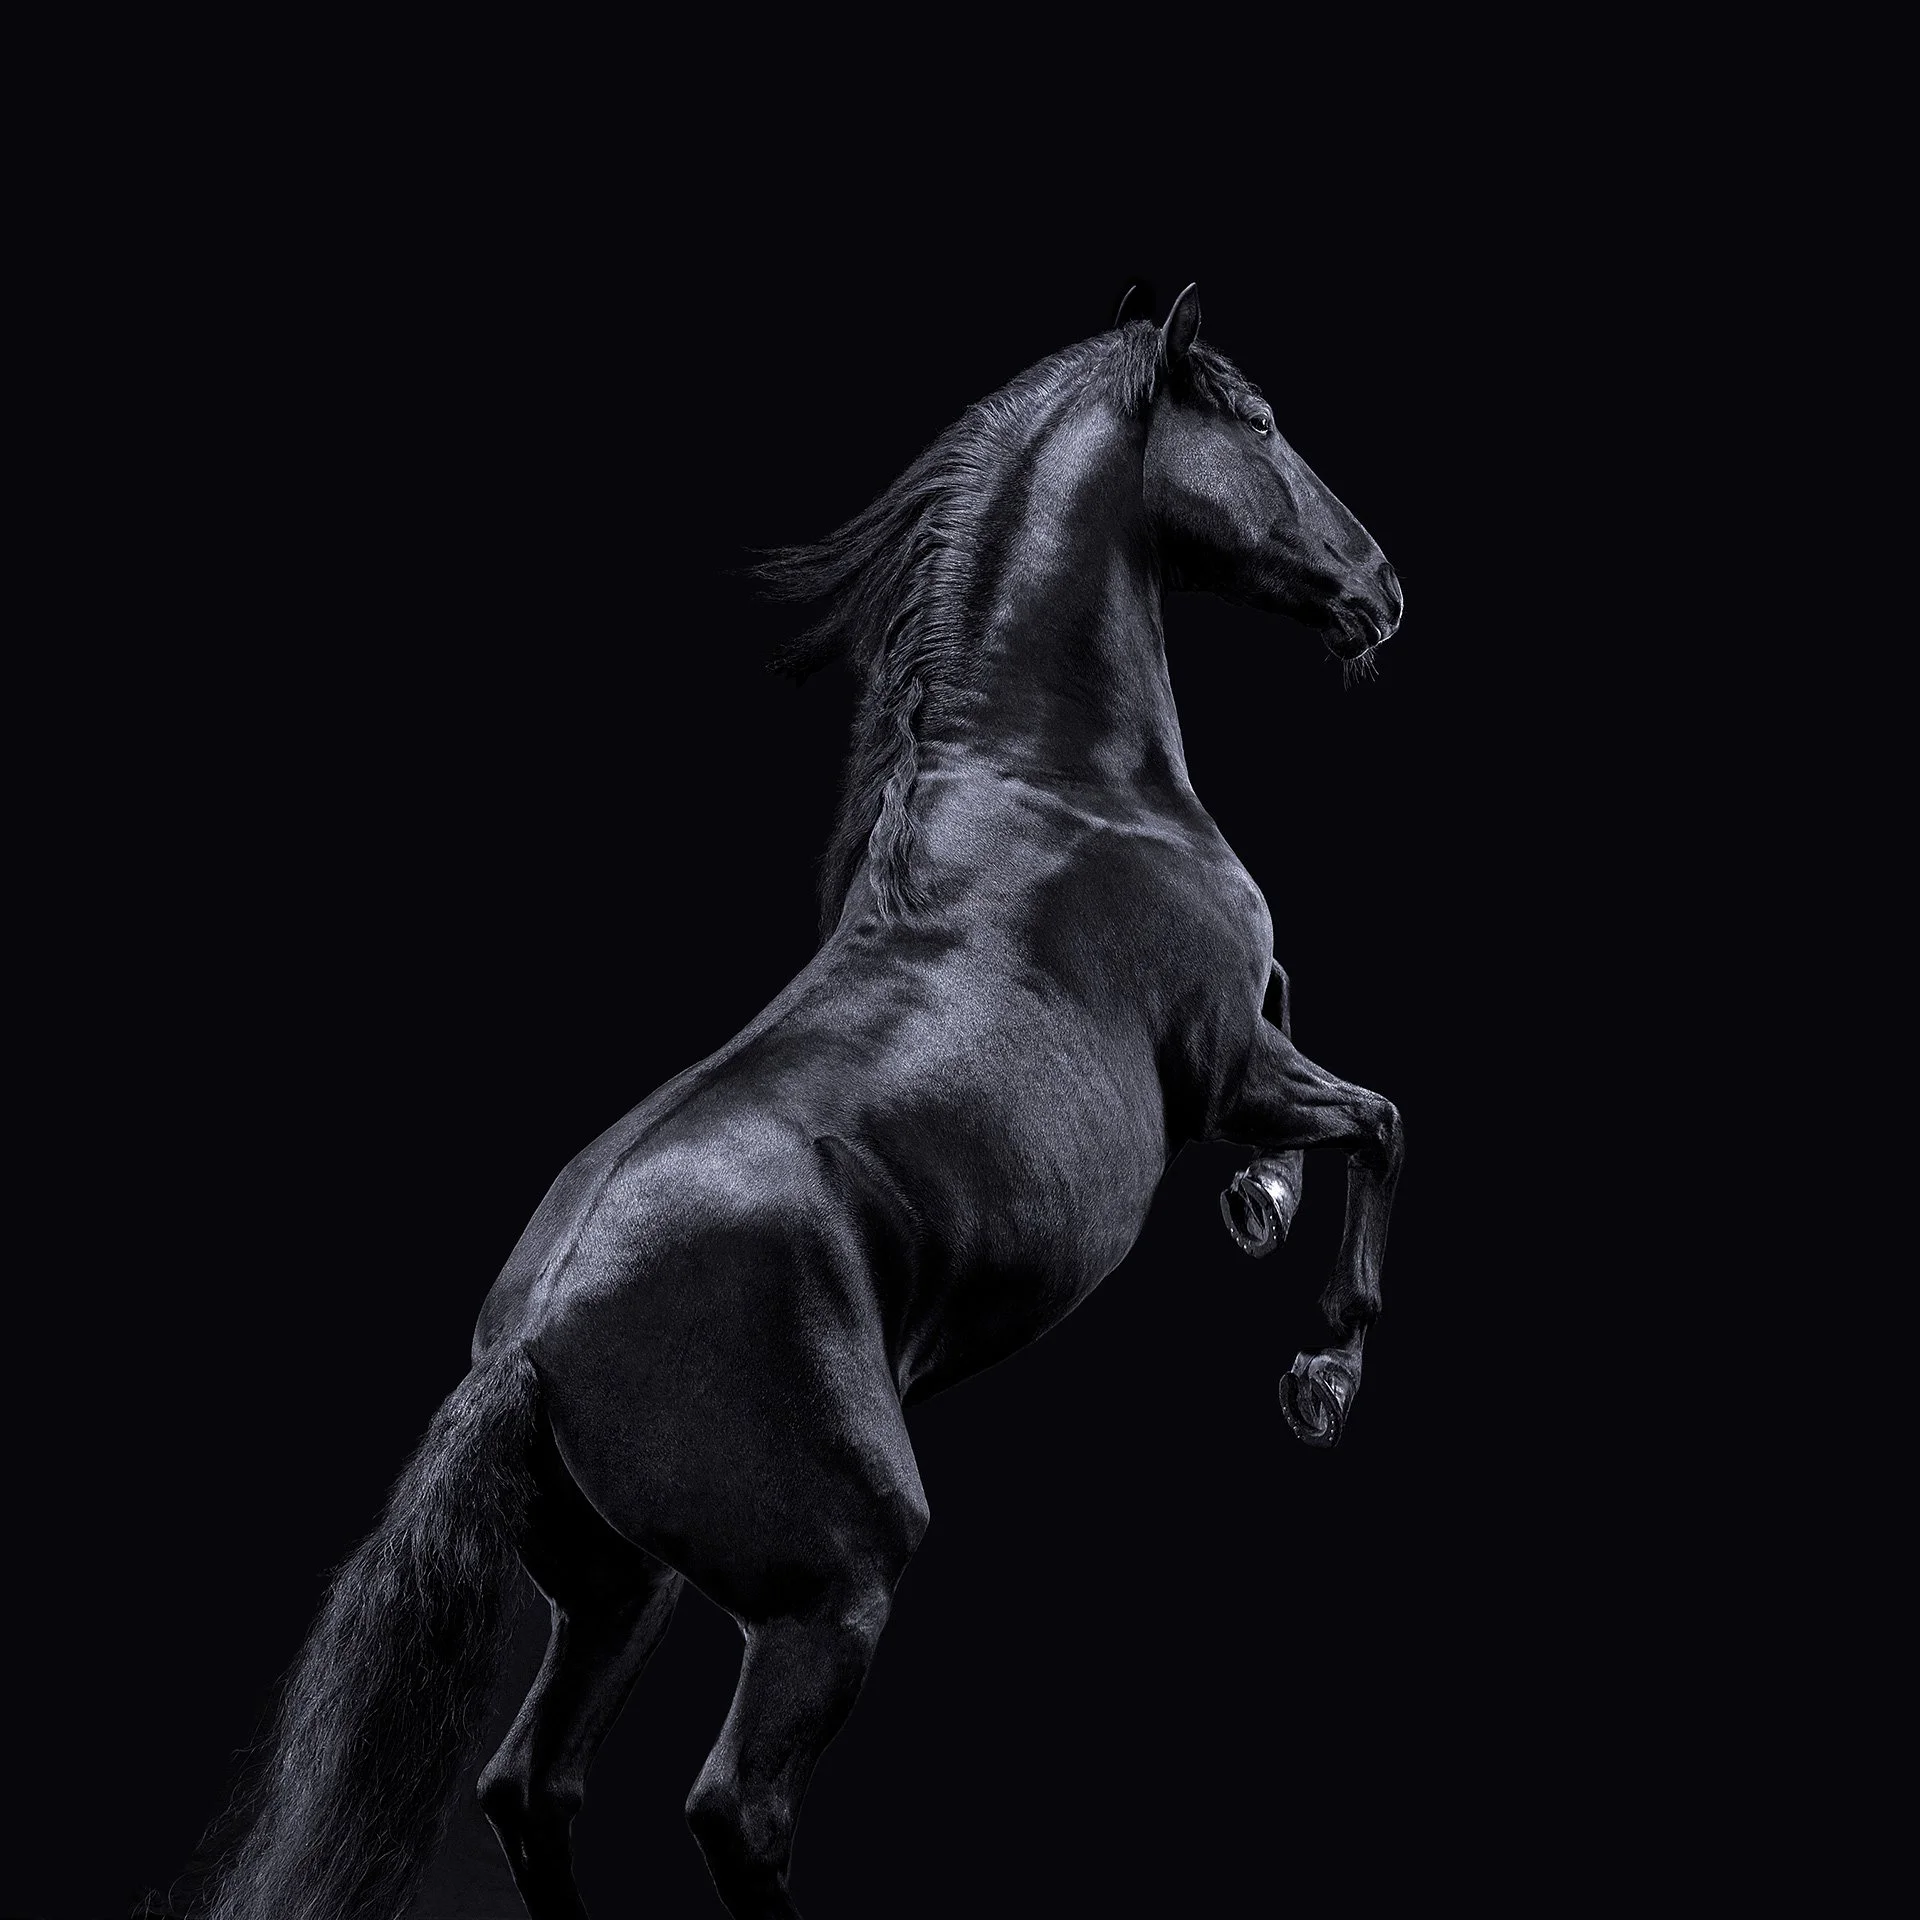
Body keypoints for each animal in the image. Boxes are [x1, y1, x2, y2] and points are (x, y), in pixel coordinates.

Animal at [186, 283, 1407, 1920]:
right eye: (1263, 423)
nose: (1383, 592)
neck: (1057, 788)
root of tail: (528, 1349)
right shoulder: (1228, 1070)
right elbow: (1377, 1115)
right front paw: (1322, 1365)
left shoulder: (1248, 1041)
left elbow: (1314, 1018)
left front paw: (1262, 1212)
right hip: (832, 1589)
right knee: (733, 1811)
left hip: (621, 1592)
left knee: (530, 1784)